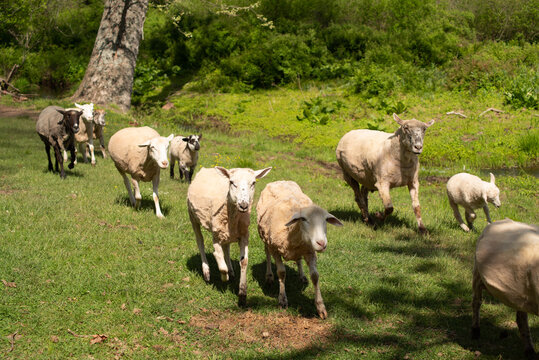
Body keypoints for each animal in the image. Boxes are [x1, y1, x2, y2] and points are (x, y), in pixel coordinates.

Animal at [188, 165, 272, 306]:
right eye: (232, 182)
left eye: (253, 183)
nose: (243, 205)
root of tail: (207, 168)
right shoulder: (216, 236)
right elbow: (220, 263)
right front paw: (224, 277)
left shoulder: (244, 235)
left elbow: (244, 261)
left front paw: (242, 294)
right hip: (193, 217)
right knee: (200, 242)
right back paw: (207, 272)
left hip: (226, 233)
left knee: (226, 248)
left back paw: (231, 271)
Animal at [256, 181, 342, 320]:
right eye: (304, 219)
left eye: (325, 221)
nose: (321, 243)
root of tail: (280, 180)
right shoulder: (275, 249)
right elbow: (281, 272)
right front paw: (282, 300)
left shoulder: (310, 251)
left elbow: (315, 276)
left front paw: (320, 307)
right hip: (265, 238)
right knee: (267, 254)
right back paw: (269, 276)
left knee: (298, 259)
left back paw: (301, 276)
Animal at [470, 219, 539, 360]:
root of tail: (500, 220)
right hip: (477, 275)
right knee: (476, 303)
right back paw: (475, 331)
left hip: (522, 294)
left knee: (521, 318)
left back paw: (529, 350)